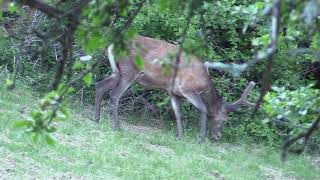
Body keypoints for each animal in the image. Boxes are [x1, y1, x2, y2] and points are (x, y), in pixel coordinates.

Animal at [94, 35, 255, 143]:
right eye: (225, 120)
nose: (218, 136)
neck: (203, 82)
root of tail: (111, 44)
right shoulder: (186, 88)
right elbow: (203, 108)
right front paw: (200, 139)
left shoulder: (173, 92)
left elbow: (178, 113)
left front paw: (180, 137)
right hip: (129, 70)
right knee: (114, 94)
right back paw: (117, 126)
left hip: (117, 71)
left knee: (100, 86)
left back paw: (96, 119)